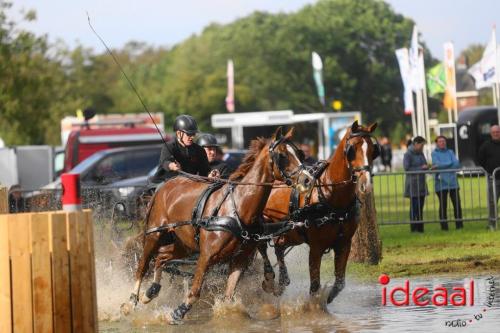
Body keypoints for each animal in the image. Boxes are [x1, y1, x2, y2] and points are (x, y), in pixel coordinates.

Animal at [120, 126, 312, 322]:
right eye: (282, 155)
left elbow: (229, 295)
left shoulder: (240, 259)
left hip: (184, 243)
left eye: (299, 153)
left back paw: (150, 292)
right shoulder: (206, 255)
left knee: (161, 257)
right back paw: (131, 302)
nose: (307, 179)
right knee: (143, 266)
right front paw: (178, 312)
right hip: (155, 234)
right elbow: (196, 289)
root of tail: (164, 187)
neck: (238, 207)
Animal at [258, 120, 378, 302]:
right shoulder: (316, 247)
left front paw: (326, 299)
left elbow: (339, 283)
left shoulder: (344, 244)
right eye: (352, 149)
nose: (366, 184)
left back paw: (281, 282)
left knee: (279, 247)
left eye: (373, 150)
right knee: (261, 247)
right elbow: (315, 286)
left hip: (291, 233)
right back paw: (269, 280)